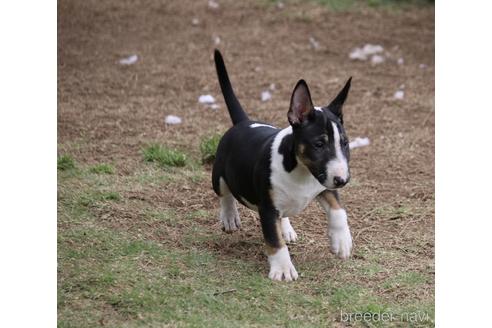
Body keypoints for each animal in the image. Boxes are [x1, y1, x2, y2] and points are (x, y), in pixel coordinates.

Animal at [211, 50, 354, 280]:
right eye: (319, 144)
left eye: (345, 143)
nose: (342, 180)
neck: (300, 171)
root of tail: (244, 122)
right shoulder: (268, 208)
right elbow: (274, 239)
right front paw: (283, 269)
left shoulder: (324, 184)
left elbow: (338, 210)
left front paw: (342, 242)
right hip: (219, 172)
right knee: (224, 193)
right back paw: (230, 217)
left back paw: (286, 228)